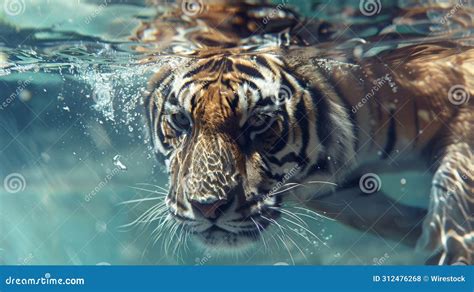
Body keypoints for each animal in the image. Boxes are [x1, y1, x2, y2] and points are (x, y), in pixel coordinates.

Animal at [135, 0, 472, 264]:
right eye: (181, 121)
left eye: (259, 121)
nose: (208, 207)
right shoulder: (333, 186)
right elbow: (374, 215)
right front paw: (421, 232)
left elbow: (456, 183)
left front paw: (452, 251)